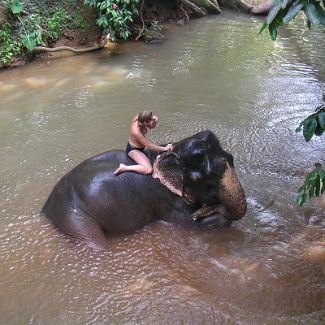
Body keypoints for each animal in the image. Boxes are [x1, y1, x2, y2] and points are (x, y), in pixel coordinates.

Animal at [41, 129, 247, 248]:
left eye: (231, 158)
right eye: (208, 177)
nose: (201, 211)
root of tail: (46, 208)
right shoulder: (166, 199)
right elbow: (186, 222)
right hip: (73, 217)